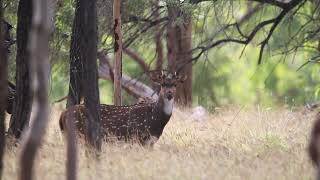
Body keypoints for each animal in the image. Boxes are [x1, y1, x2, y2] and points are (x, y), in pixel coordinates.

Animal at [58, 71, 186, 146]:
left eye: (175, 84)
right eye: (163, 84)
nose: (169, 93)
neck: (156, 121)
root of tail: (62, 115)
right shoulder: (139, 138)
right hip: (79, 133)